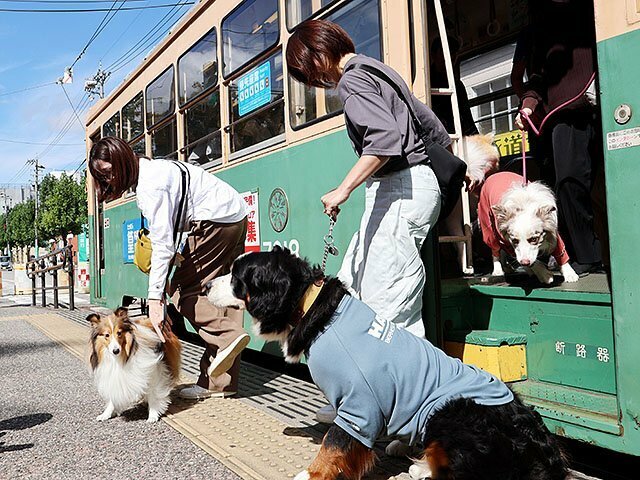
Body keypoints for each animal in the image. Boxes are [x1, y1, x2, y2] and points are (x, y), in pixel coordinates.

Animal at [208, 248, 568, 480]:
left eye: (236, 277)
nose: (209, 284)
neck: (308, 307)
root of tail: (541, 445)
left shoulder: (359, 405)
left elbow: (333, 444)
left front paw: (311, 474)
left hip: (451, 409)